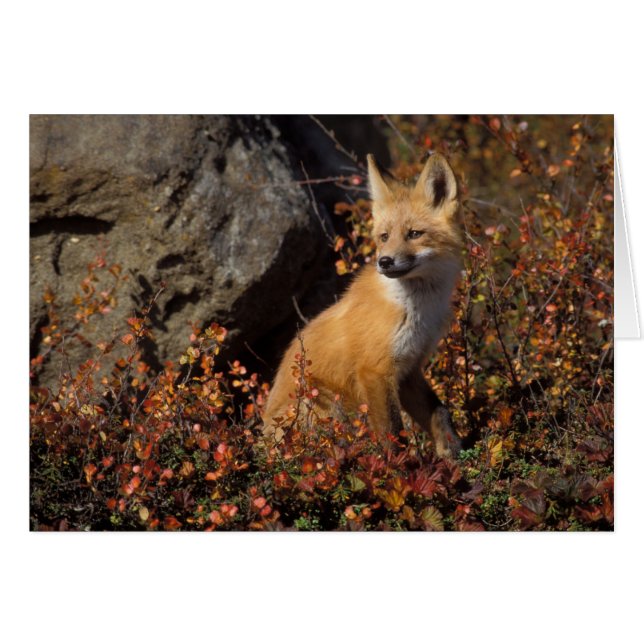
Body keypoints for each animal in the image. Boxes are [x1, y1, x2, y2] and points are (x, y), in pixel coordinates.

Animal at [262, 152, 463, 459]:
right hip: (323, 403)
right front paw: (403, 466)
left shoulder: (409, 368)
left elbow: (439, 412)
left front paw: (452, 452)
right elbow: (393, 434)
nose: (385, 261)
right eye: (384, 237)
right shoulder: (375, 371)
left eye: (414, 234)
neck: (416, 309)